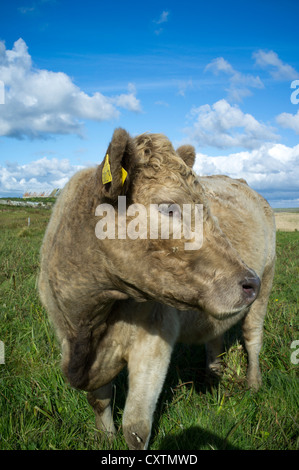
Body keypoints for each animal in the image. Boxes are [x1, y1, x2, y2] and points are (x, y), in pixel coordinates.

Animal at [39, 126, 276, 450]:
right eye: (169, 208)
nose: (250, 282)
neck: (86, 325)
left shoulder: (153, 340)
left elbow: (135, 428)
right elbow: (99, 402)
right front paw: (106, 439)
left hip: (268, 281)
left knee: (253, 339)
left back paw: (253, 384)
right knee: (214, 338)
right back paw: (212, 378)